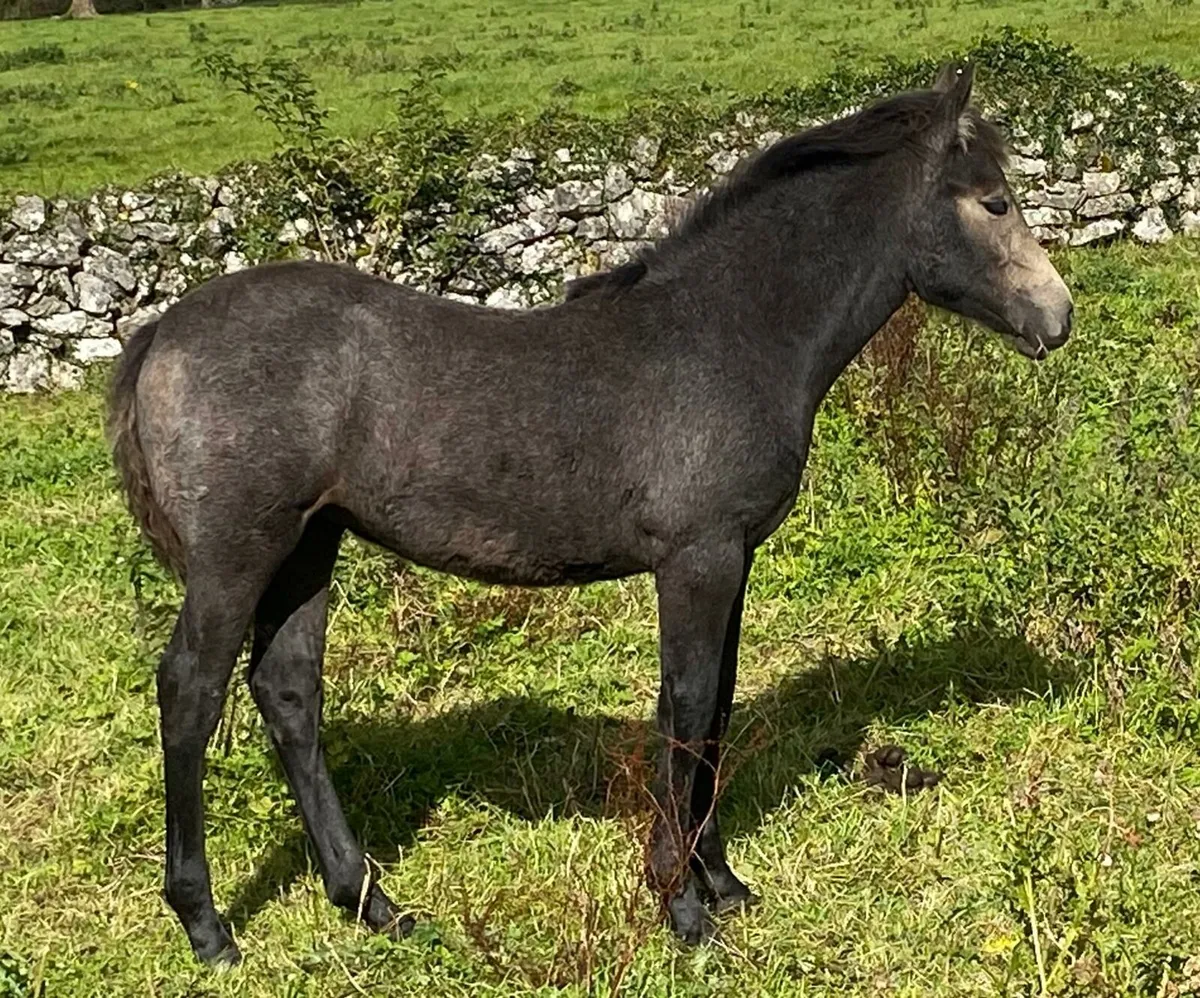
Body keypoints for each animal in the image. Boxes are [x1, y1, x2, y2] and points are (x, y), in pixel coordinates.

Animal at [107, 64, 1072, 966]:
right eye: (994, 200)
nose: (1057, 317)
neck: (728, 335)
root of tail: (160, 333)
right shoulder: (697, 559)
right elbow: (687, 708)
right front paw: (681, 905)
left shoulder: (734, 557)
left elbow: (713, 707)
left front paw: (722, 883)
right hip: (240, 550)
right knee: (190, 693)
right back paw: (207, 927)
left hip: (311, 545)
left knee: (289, 694)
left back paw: (374, 903)